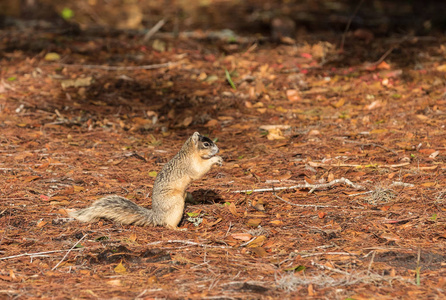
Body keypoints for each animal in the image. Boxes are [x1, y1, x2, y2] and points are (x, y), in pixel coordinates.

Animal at [68, 132, 223, 230]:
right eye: (206, 144)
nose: (218, 149)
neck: (190, 153)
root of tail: (156, 216)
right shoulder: (189, 165)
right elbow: (198, 171)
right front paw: (216, 159)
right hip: (175, 203)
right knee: (168, 224)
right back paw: (178, 229)